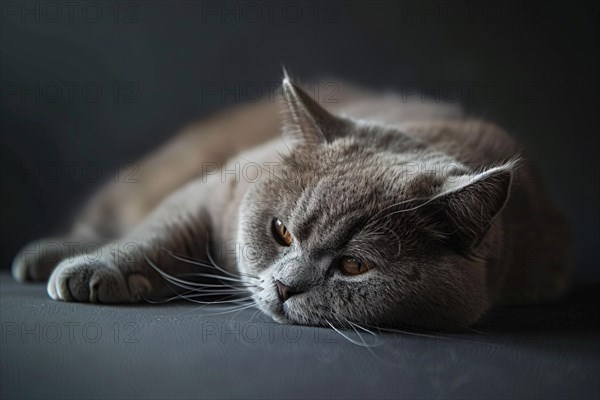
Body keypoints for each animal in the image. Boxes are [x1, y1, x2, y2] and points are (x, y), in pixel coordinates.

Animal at [10, 73, 572, 330]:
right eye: (281, 231)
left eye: (354, 265)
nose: (284, 286)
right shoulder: (213, 189)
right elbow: (157, 233)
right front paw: (97, 270)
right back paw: (46, 255)